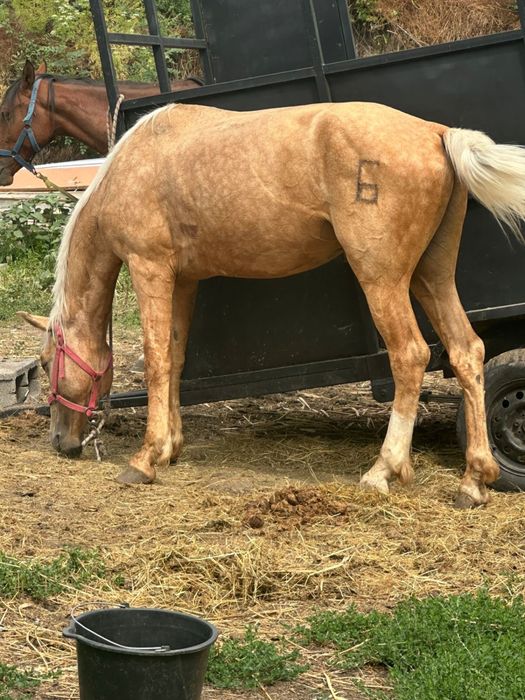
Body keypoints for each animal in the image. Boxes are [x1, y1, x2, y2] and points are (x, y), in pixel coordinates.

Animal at [19, 100, 525, 508]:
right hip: (431, 276)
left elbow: (157, 359)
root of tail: (436, 132)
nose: (60, 442)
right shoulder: (184, 280)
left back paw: (383, 469)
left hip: (382, 280)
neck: (131, 164)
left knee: (411, 356)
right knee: (466, 352)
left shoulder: (151, 270)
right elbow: (177, 358)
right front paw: (171, 447)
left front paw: (145, 458)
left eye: (45, 363)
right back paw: (474, 481)